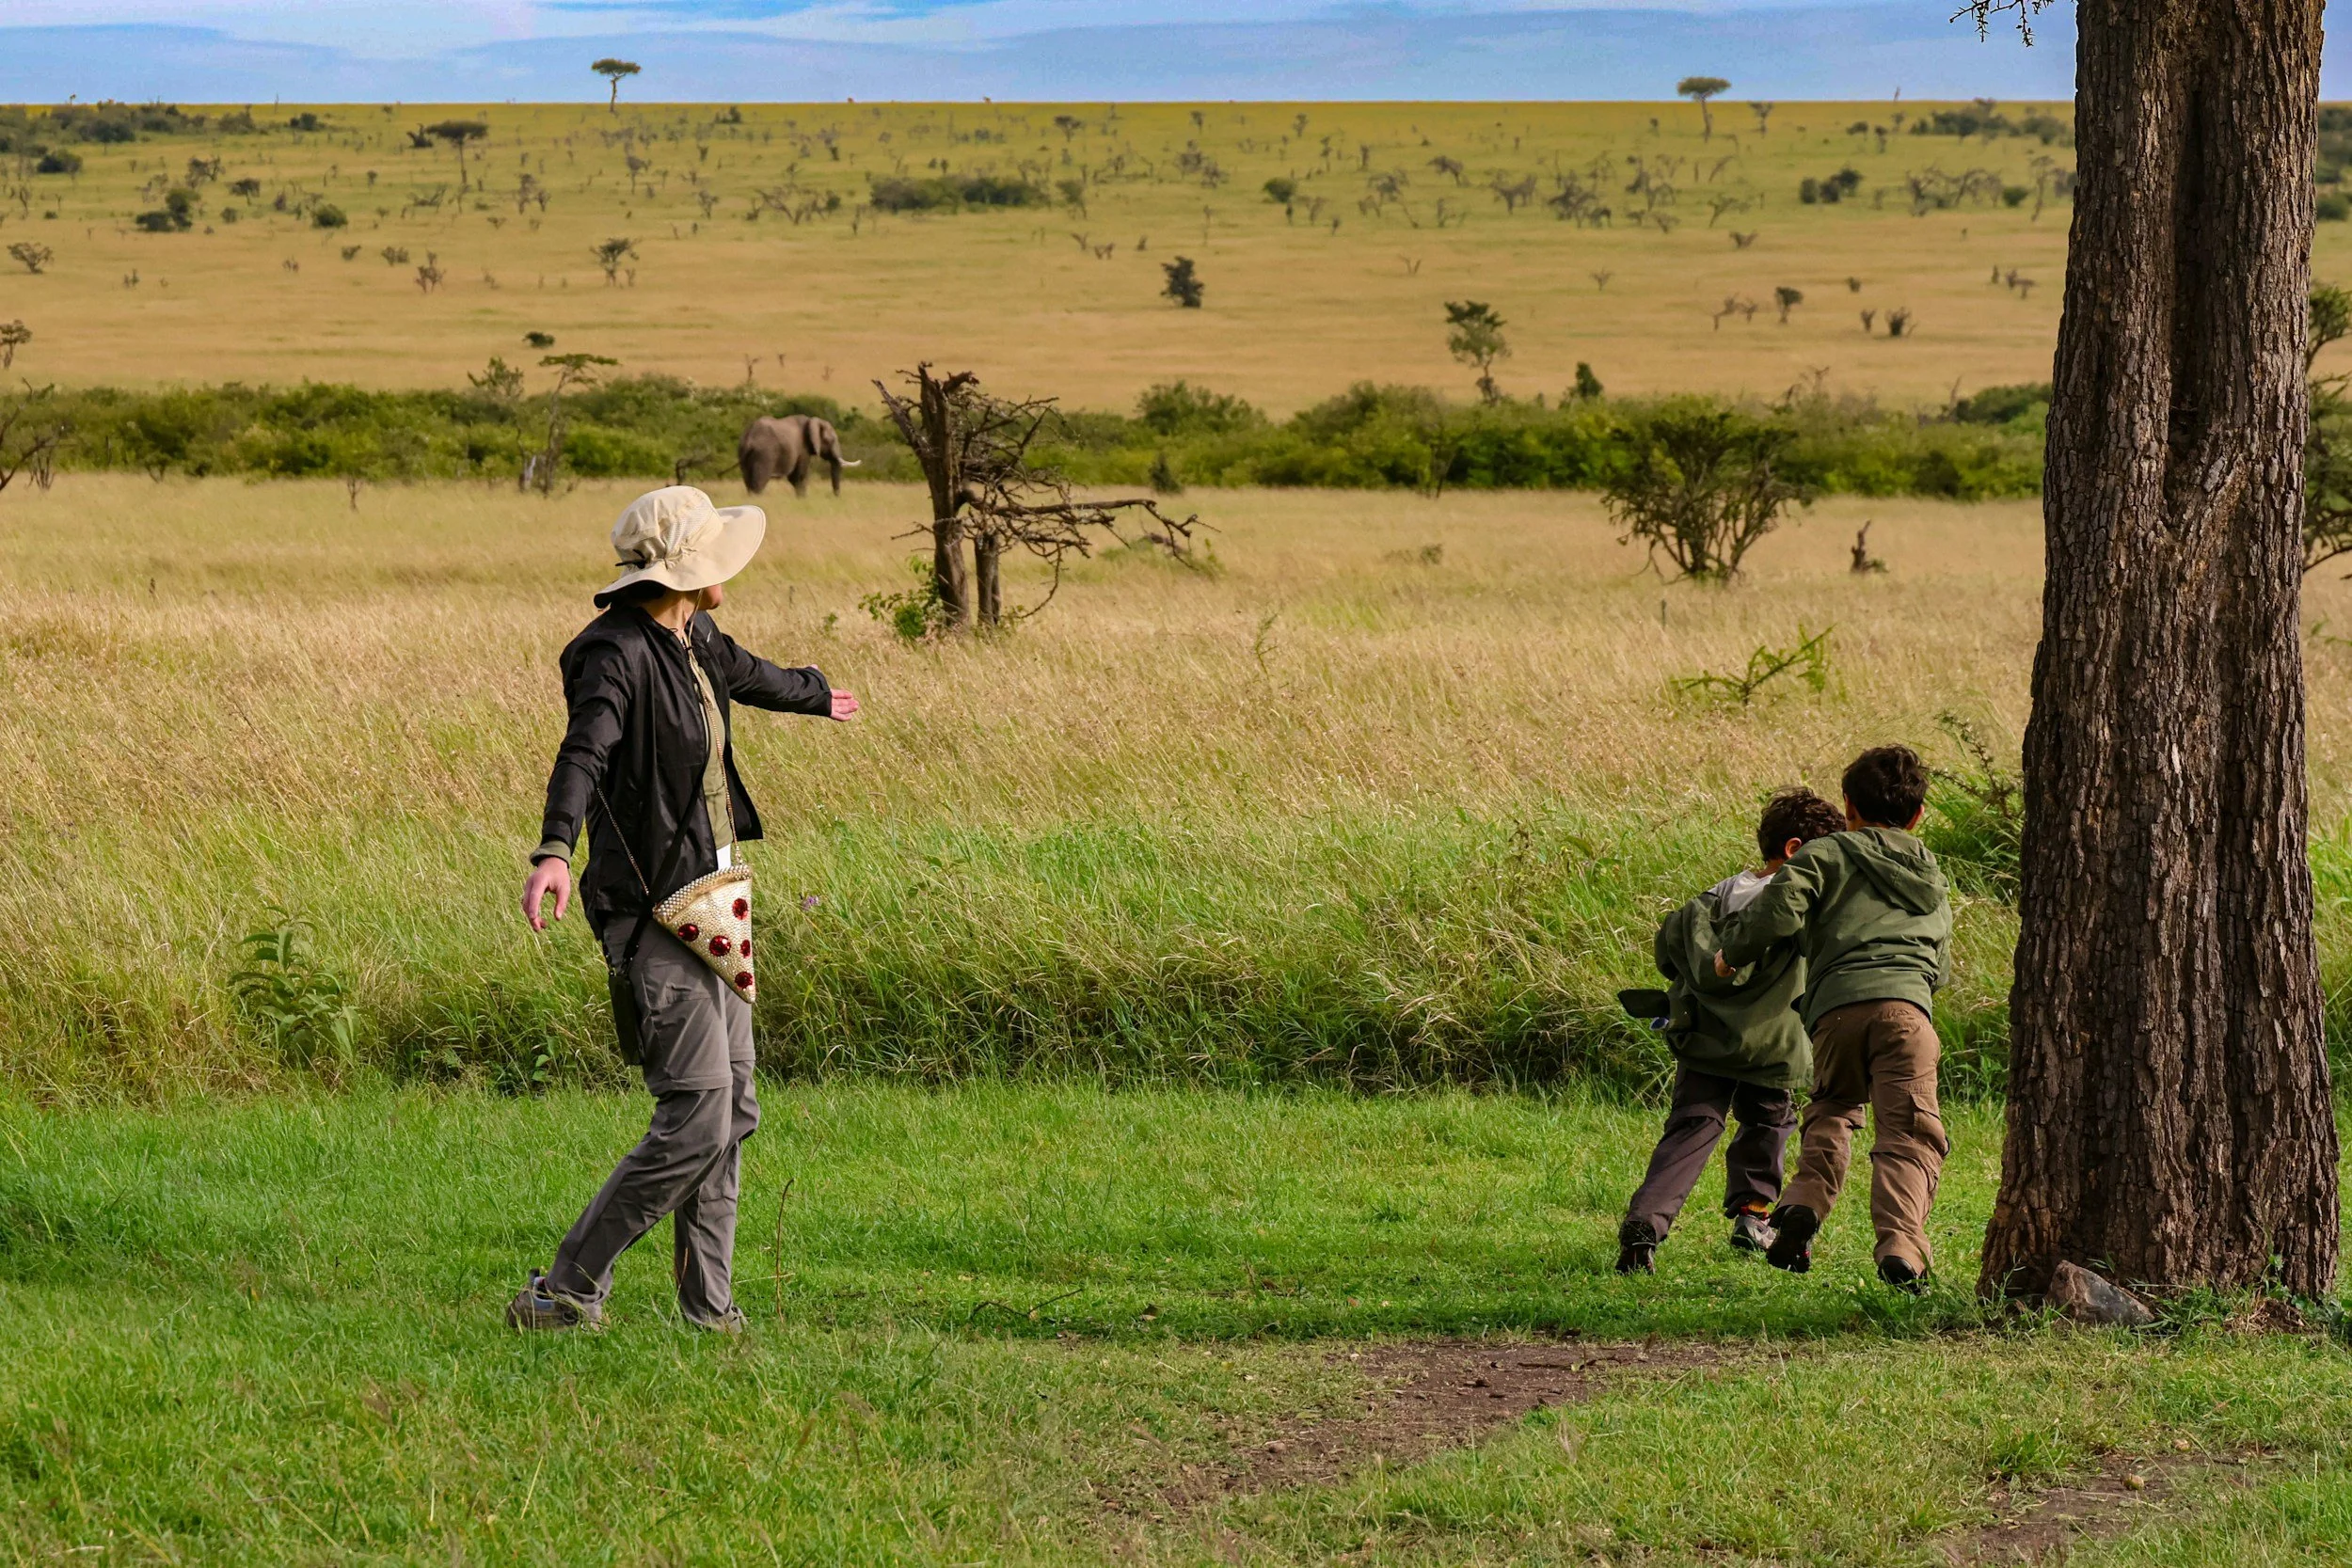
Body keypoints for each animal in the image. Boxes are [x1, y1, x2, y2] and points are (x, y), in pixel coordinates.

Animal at [738, 414, 861, 497]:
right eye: (831, 440)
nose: (834, 497)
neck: (812, 420)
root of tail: (749, 439)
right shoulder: (803, 448)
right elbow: (798, 476)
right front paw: (803, 499)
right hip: (765, 455)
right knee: (759, 481)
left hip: (744, 454)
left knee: (748, 480)